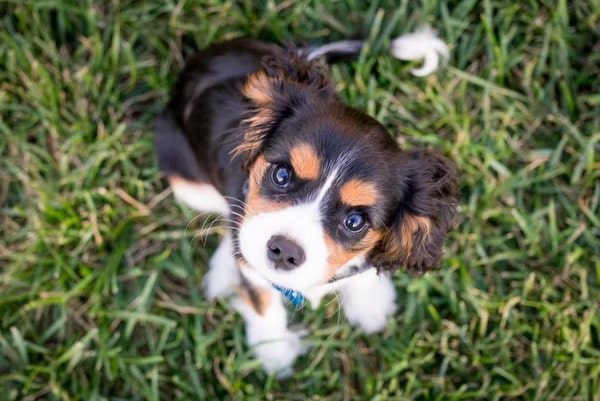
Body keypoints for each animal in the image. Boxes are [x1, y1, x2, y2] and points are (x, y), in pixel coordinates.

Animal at [156, 28, 460, 376]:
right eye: (282, 175)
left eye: (355, 221)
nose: (284, 251)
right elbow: (262, 300)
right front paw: (274, 353)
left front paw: (370, 303)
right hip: (186, 179)